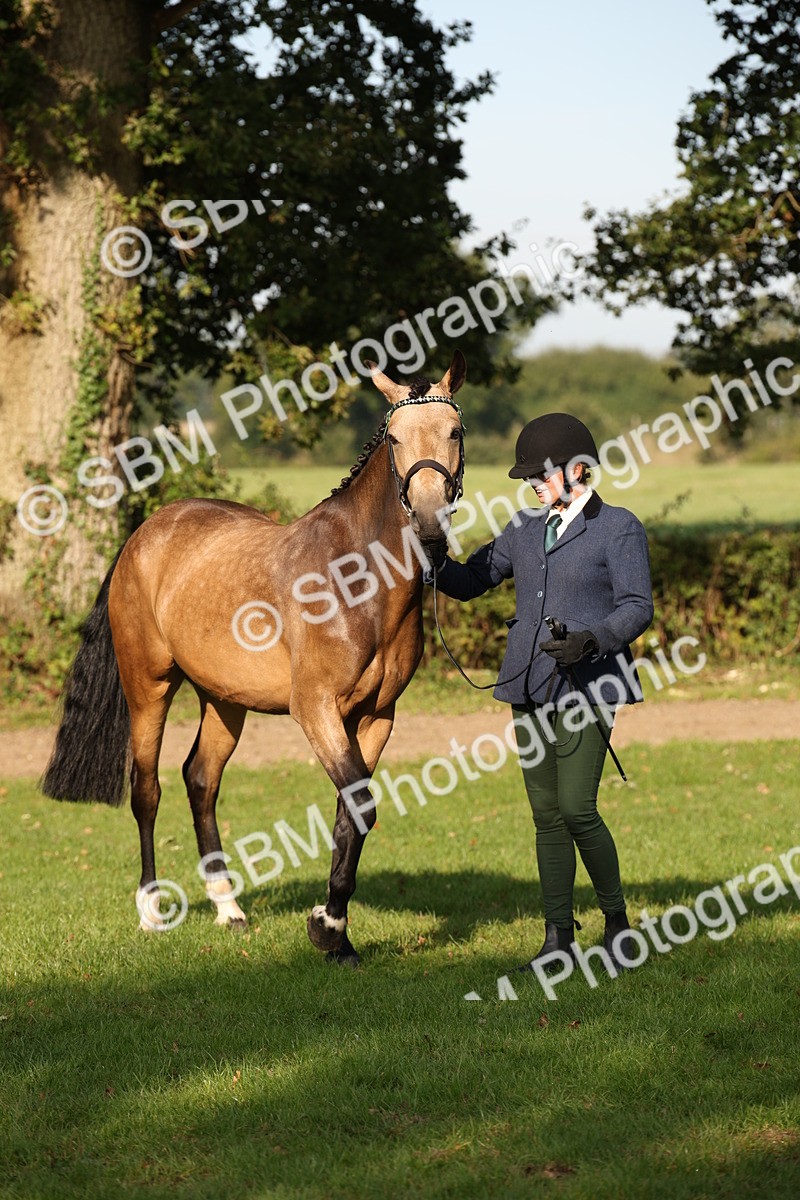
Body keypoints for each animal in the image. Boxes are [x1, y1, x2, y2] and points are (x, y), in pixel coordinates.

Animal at [41, 351, 466, 965]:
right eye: (394, 437)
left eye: (454, 431)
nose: (432, 527)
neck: (356, 579)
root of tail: (144, 534)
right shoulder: (315, 710)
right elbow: (359, 805)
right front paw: (326, 928)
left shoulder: (375, 718)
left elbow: (349, 814)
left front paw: (337, 934)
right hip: (149, 687)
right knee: (147, 790)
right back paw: (151, 912)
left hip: (223, 700)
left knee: (200, 779)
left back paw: (228, 908)